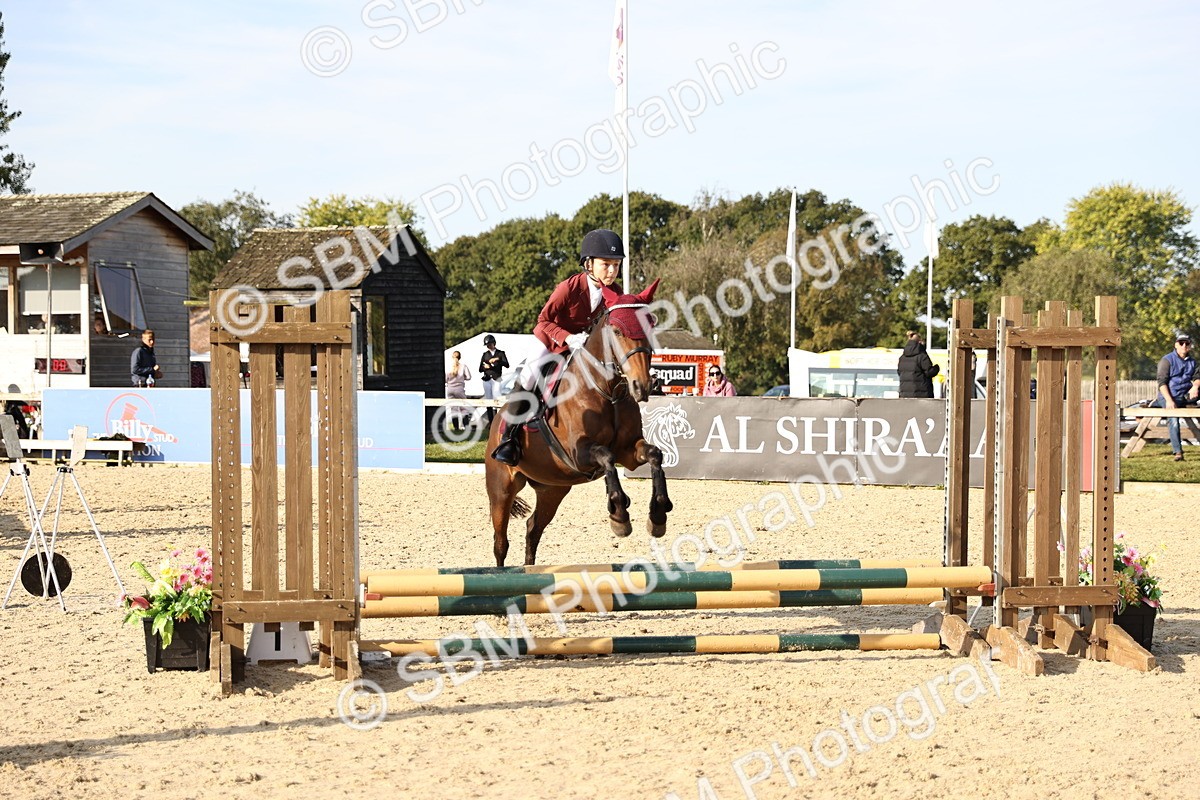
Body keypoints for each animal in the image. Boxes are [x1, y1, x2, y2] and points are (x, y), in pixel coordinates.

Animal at [484, 281, 672, 566]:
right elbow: (606, 456)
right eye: (617, 330)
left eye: (649, 326)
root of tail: (496, 420)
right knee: (500, 543)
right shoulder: (578, 452)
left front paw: (658, 514)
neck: (607, 390)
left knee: (533, 529)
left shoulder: (629, 451)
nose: (642, 386)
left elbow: (654, 454)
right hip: (501, 489)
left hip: (553, 489)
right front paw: (619, 514)